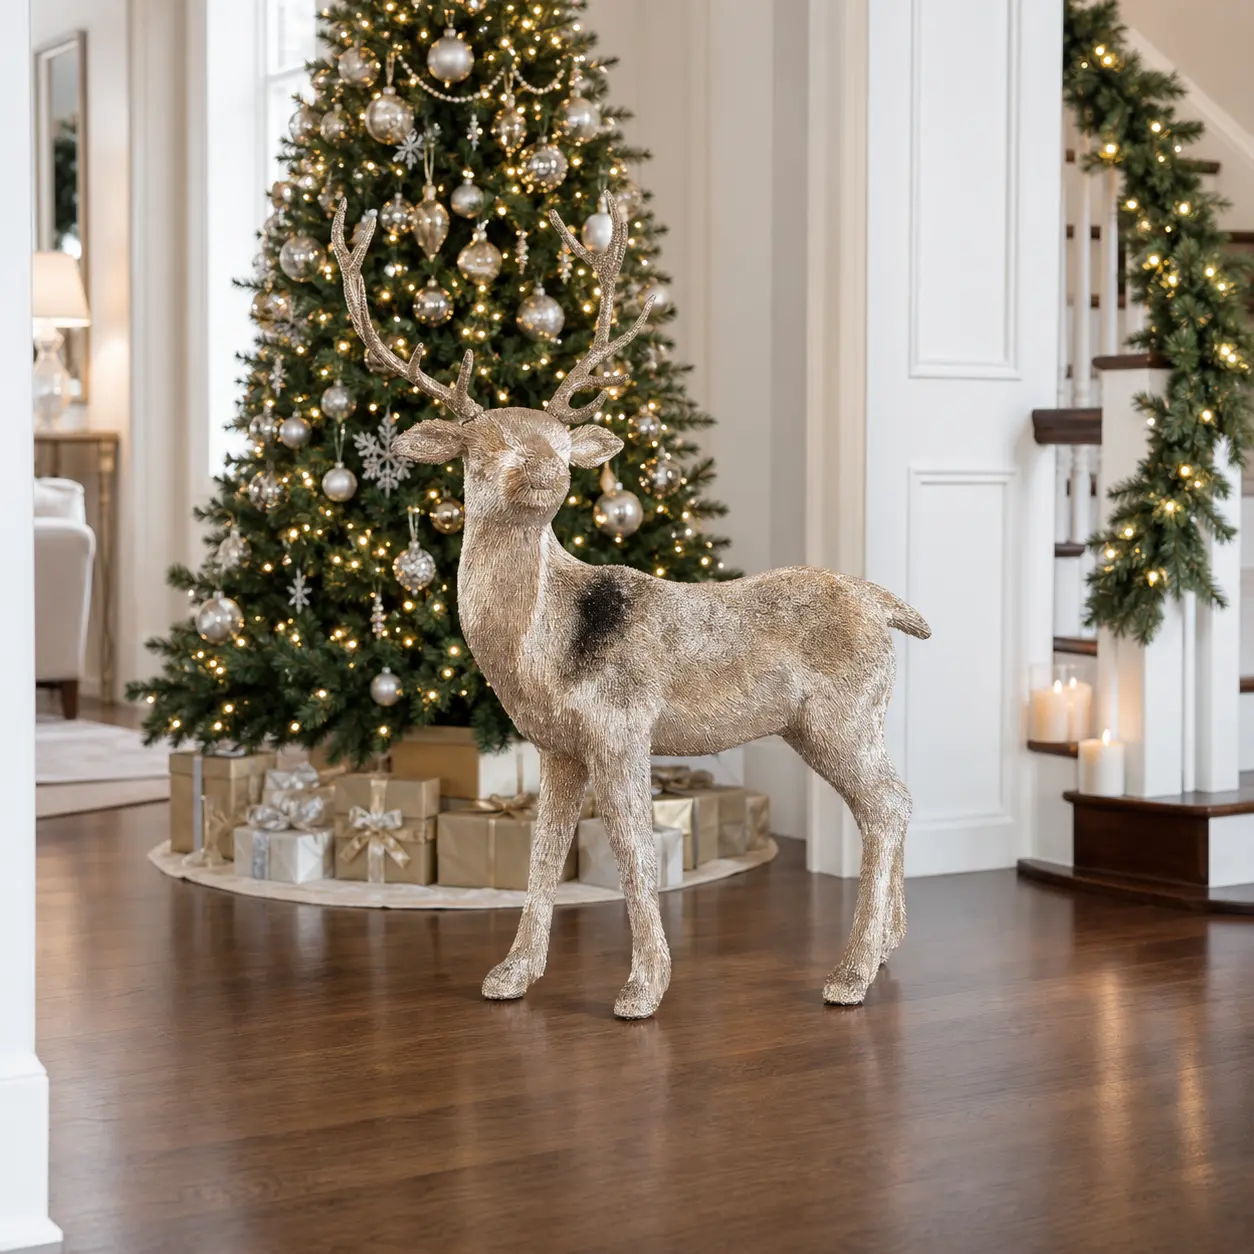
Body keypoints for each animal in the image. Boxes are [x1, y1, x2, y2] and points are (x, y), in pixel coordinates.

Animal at [331, 196, 930, 1020]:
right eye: (486, 445)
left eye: (558, 441)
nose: (548, 473)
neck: (536, 655)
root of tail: (886, 605)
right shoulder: (557, 744)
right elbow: (543, 854)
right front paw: (510, 976)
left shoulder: (621, 725)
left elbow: (636, 854)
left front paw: (642, 990)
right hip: (835, 722)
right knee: (893, 802)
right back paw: (886, 950)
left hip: (841, 714)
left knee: (886, 806)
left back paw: (848, 976)